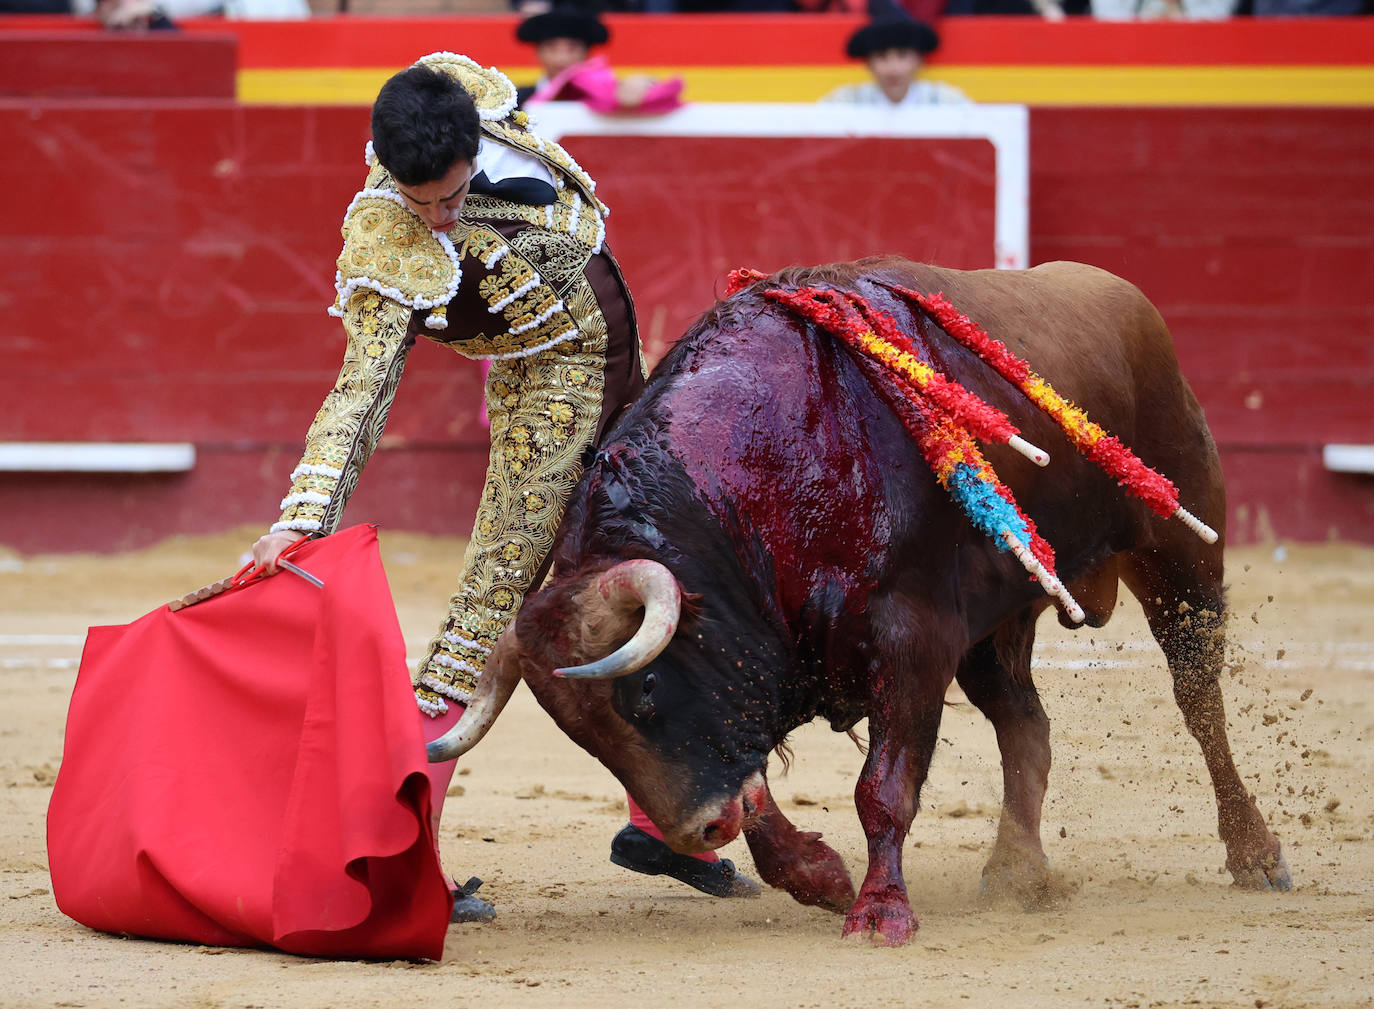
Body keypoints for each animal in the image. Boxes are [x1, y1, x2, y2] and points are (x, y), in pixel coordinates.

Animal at [428, 254, 1286, 945]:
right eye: (584, 738)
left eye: (643, 692)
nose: (699, 829)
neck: (763, 473)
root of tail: (1127, 298)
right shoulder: (767, 666)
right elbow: (756, 790)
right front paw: (822, 877)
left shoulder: (913, 642)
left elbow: (882, 789)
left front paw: (880, 912)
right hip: (998, 627)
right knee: (1028, 729)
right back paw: (1018, 871)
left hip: (1180, 553)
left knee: (1198, 701)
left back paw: (1257, 853)